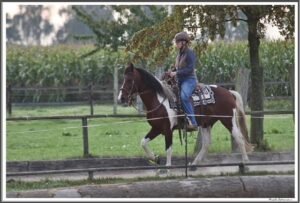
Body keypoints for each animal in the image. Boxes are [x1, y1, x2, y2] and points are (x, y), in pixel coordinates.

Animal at [117, 62, 253, 169]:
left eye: (129, 80)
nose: (121, 98)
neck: (160, 100)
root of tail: (229, 92)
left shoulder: (168, 130)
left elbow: (168, 149)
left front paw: (167, 169)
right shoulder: (156, 128)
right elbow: (143, 142)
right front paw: (155, 158)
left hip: (228, 121)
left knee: (239, 138)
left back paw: (245, 162)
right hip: (206, 124)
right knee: (206, 144)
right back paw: (194, 164)